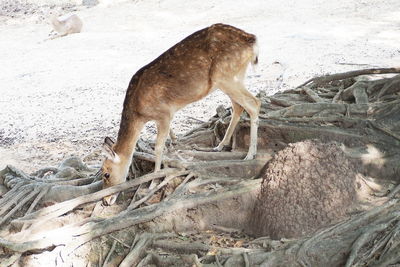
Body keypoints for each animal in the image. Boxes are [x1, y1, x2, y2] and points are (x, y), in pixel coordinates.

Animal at [101, 24, 260, 206]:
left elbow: (158, 147)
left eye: (106, 174)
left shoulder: (164, 113)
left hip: (226, 77)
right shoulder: (163, 116)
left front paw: (153, 182)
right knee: (238, 107)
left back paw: (250, 154)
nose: (105, 201)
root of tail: (251, 39)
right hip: (234, 77)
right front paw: (175, 141)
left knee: (254, 104)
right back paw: (220, 145)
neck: (139, 113)